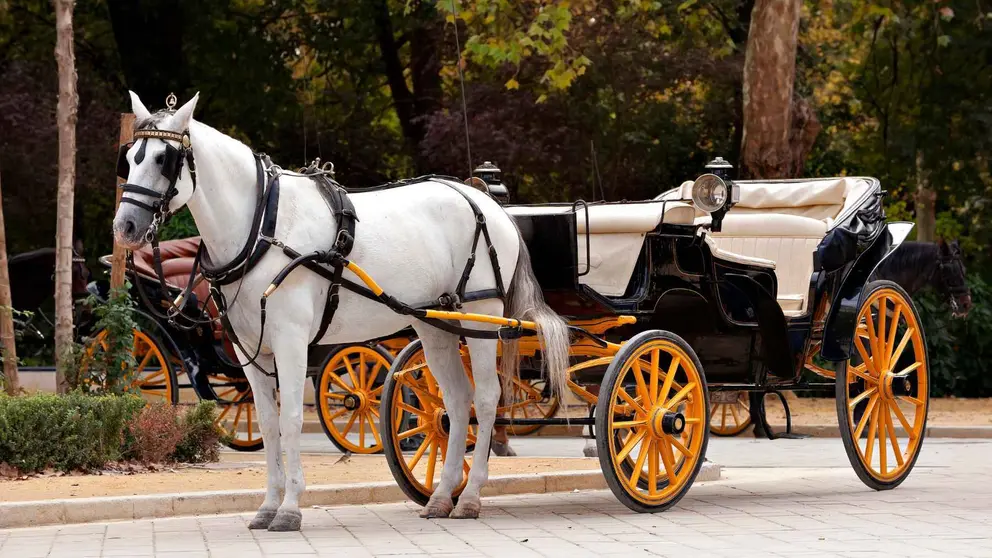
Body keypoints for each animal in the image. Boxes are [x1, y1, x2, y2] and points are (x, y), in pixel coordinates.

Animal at [112, 92, 570, 530]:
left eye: (163, 159)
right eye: (130, 159)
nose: (125, 227)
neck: (263, 226)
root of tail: (485, 202)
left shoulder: (291, 340)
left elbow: (292, 418)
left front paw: (290, 509)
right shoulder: (248, 350)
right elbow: (268, 423)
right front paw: (268, 506)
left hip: (481, 314)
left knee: (488, 397)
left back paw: (471, 496)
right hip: (435, 324)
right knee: (457, 402)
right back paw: (442, 498)